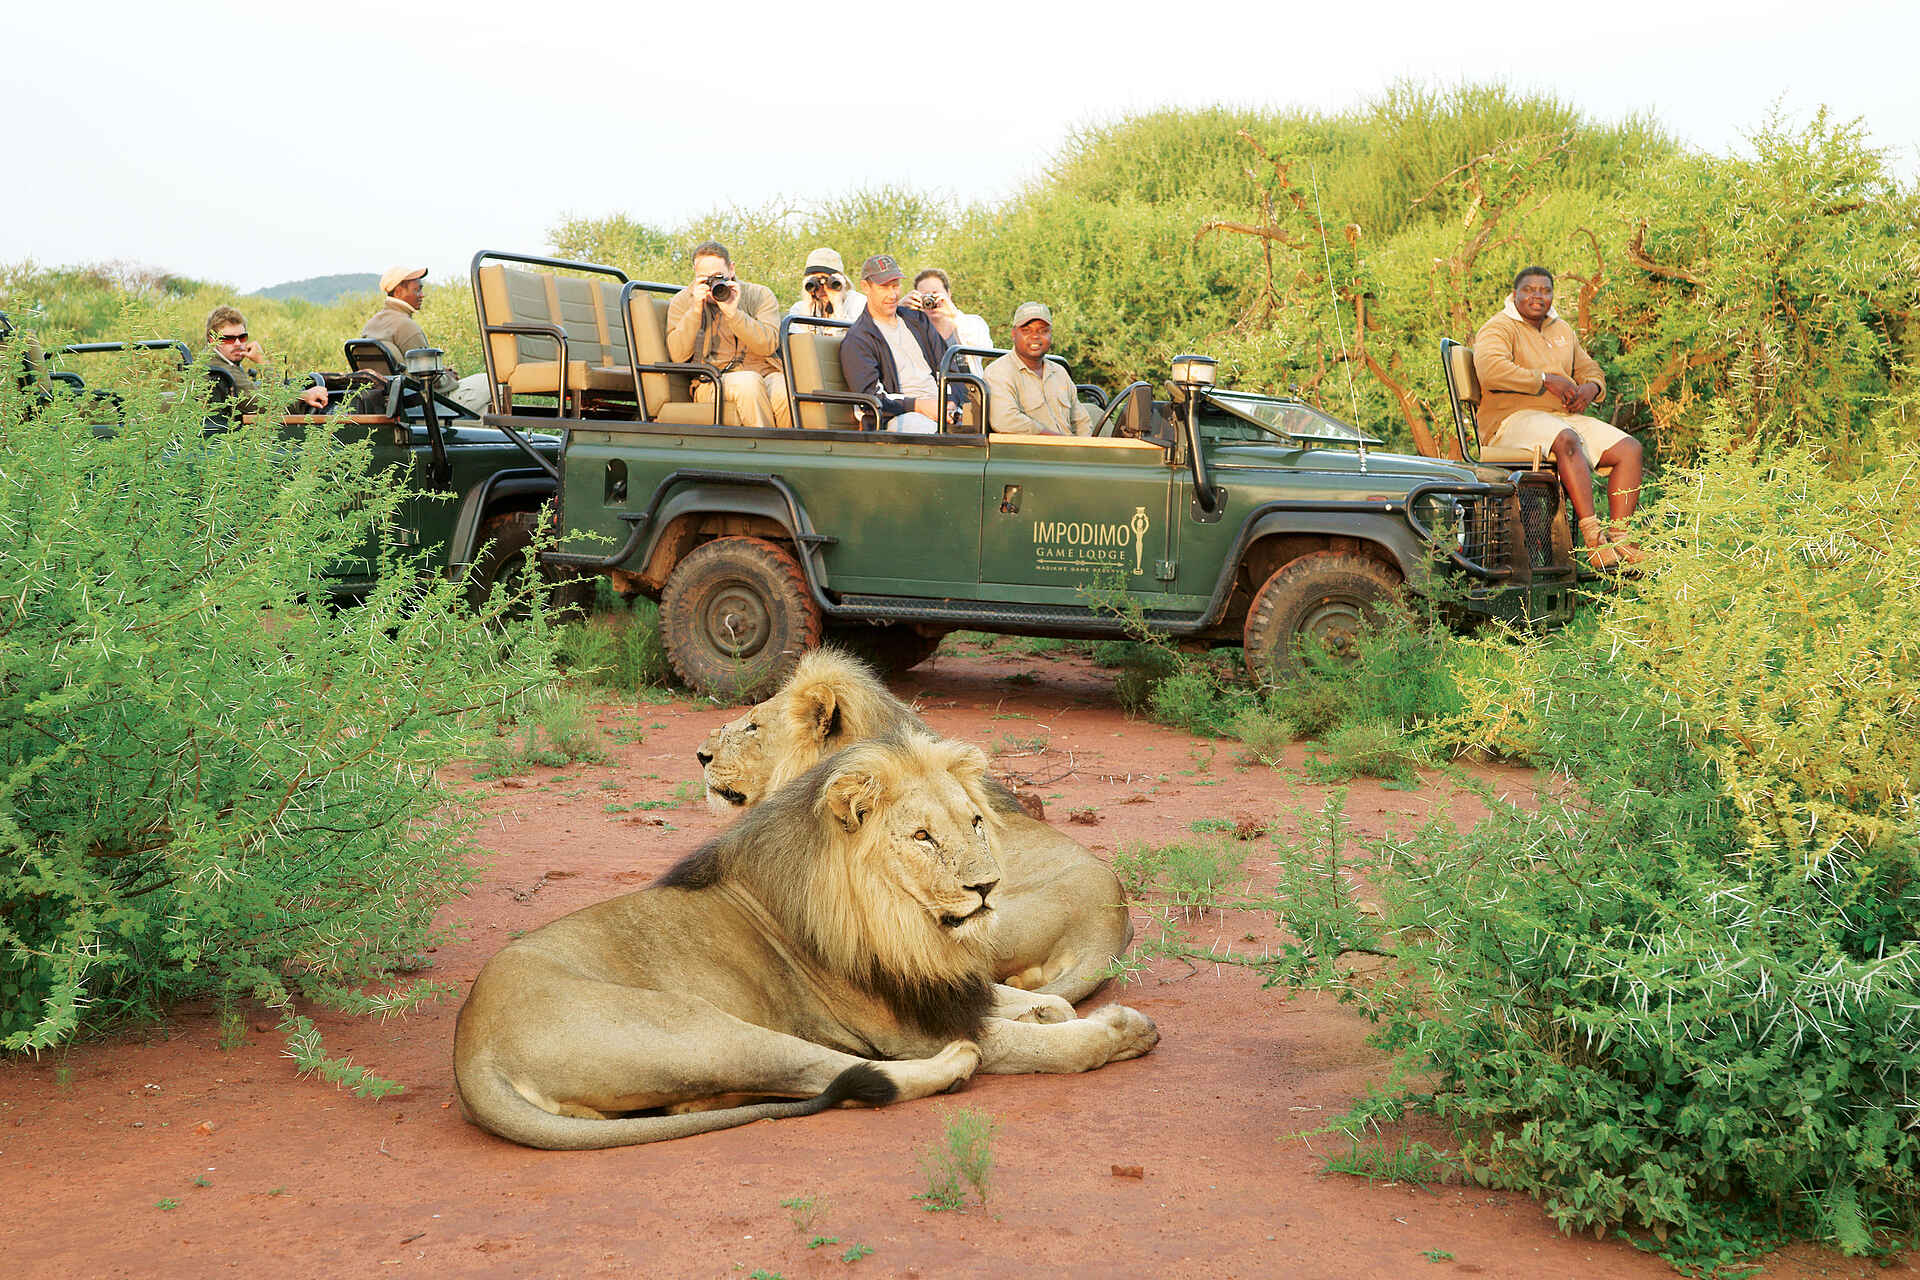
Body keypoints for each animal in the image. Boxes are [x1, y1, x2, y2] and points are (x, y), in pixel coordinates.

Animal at [453, 731, 1158, 1150]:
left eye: (976, 822)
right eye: (922, 837)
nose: (987, 888)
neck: (906, 926)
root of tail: (471, 1047)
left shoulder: (937, 986)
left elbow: (1032, 1000)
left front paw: (1043, 1008)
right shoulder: (908, 1028)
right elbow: (1043, 1043)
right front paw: (1116, 1032)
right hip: (703, 1030)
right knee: (847, 1073)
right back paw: (956, 1064)